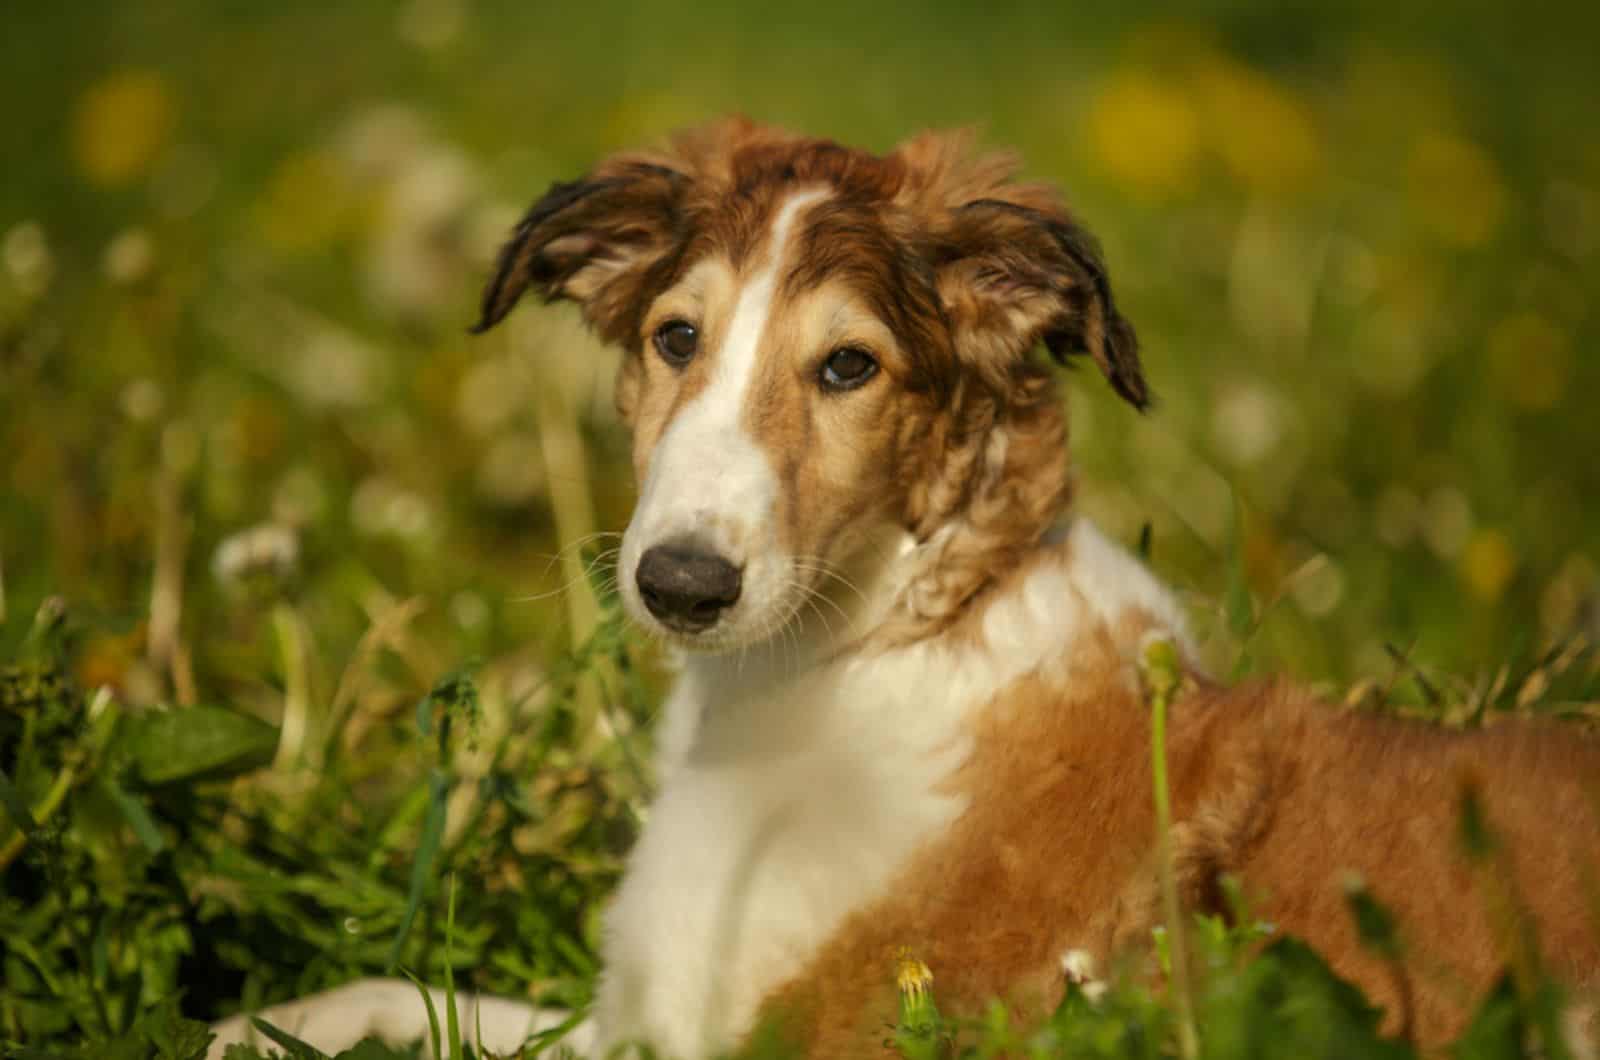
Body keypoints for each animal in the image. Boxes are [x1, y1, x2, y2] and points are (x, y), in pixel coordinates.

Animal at [209, 120, 1600, 1056]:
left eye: (848, 367)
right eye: (674, 337)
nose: (680, 585)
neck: (879, 642)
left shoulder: (784, 1032)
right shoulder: (642, 1015)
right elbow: (398, 997)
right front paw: (253, 1023)